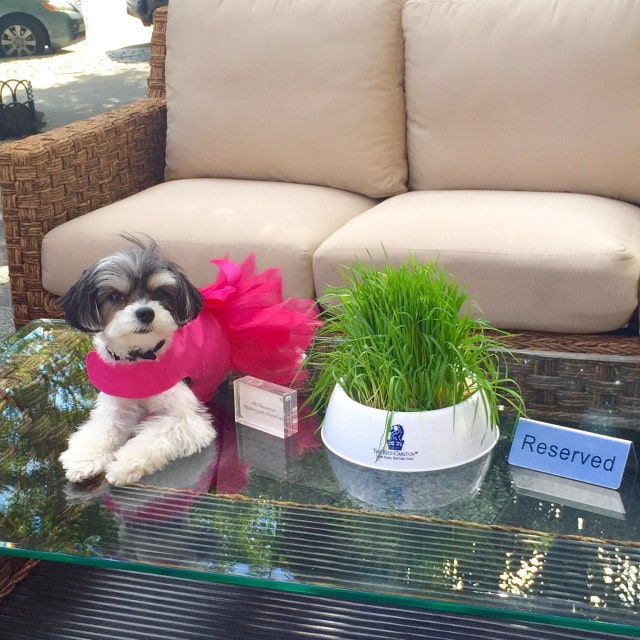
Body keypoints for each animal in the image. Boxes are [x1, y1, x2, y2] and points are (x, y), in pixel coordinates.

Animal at [58, 239, 318, 484]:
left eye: (160, 294)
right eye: (114, 296)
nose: (146, 312)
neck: (142, 357)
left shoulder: (186, 419)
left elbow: (153, 438)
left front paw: (124, 464)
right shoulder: (116, 407)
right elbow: (101, 429)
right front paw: (84, 459)